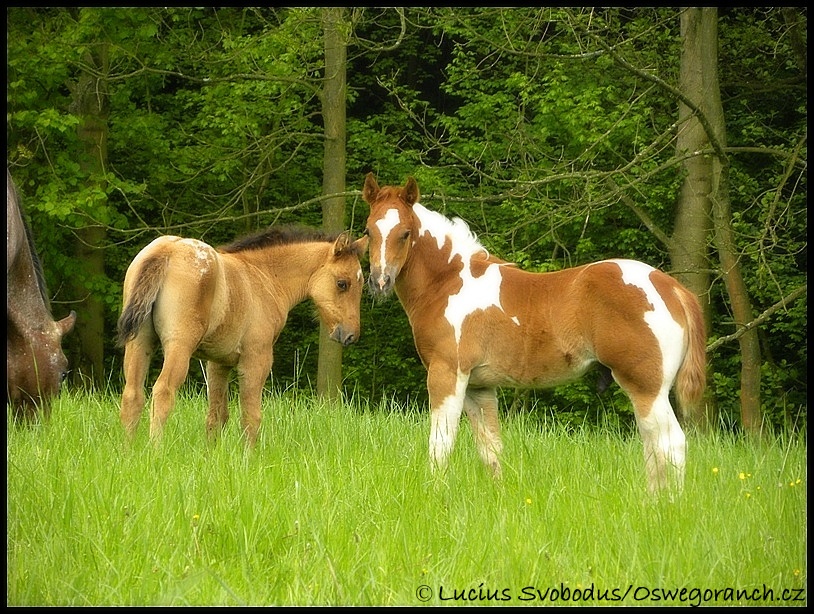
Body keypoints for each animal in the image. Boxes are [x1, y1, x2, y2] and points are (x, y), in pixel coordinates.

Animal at [364, 174, 708, 496]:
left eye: (405, 233)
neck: (448, 282)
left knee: (671, 444)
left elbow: (440, 444)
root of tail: (673, 288)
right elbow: (490, 449)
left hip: (647, 387)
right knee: (654, 446)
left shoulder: (447, 374)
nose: (380, 282)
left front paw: (435, 494)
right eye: (369, 231)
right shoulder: (479, 386)